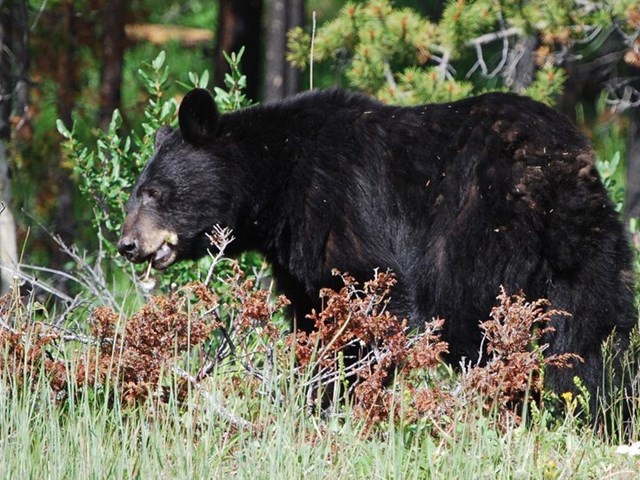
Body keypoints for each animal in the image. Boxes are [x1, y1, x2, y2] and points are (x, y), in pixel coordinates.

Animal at [119, 88, 636, 404]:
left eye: (155, 192)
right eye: (135, 191)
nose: (127, 244)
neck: (277, 179)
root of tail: (559, 165)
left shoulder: (340, 208)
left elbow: (369, 298)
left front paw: (351, 392)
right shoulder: (297, 250)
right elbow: (313, 312)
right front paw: (318, 390)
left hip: (478, 229)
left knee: (477, 317)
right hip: (587, 241)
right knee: (593, 325)